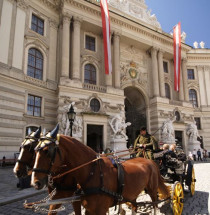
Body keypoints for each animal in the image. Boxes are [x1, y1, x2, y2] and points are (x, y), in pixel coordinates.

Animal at [30, 125, 169, 214]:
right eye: (34, 150)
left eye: (47, 151)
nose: (35, 183)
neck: (92, 173)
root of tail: (150, 160)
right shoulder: (87, 208)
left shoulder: (100, 209)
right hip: (133, 192)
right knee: (134, 206)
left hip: (152, 189)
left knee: (155, 204)